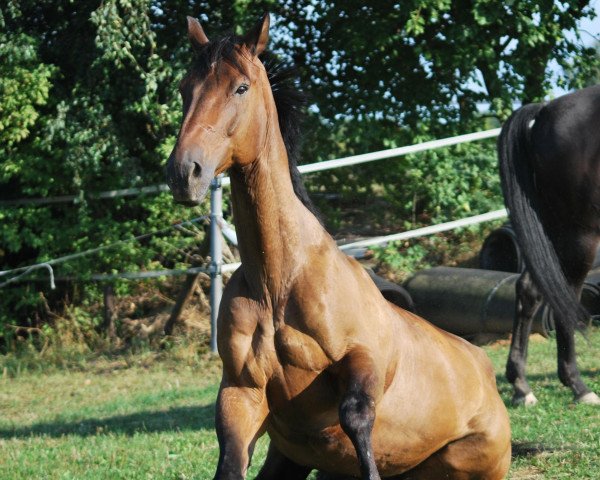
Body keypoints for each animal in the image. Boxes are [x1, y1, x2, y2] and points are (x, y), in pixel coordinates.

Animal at [168, 14, 510, 480]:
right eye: (185, 88)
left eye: (240, 87)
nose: (185, 172)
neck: (279, 282)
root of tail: (484, 368)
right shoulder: (241, 392)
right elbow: (231, 464)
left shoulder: (365, 360)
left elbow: (357, 420)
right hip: (290, 460)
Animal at [496, 85, 600, 404]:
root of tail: (544, 112)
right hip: (579, 235)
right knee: (566, 296)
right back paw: (578, 386)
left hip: (551, 232)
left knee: (529, 289)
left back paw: (521, 385)